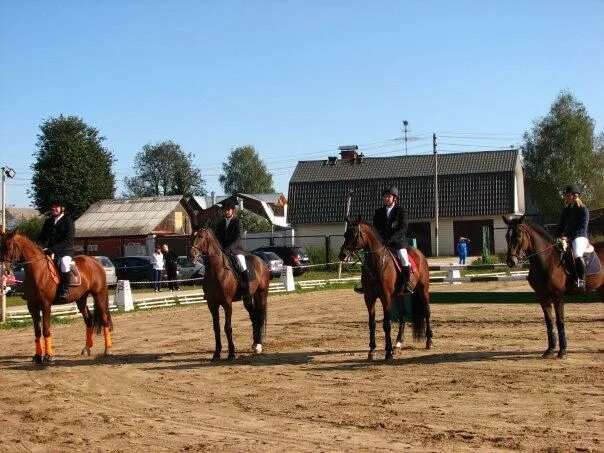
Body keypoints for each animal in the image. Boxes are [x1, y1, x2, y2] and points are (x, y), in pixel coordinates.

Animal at [0, 230, 113, 364]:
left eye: (9, 247)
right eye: (1, 246)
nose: (5, 270)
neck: (37, 271)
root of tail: (95, 262)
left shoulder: (46, 305)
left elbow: (46, 330)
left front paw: (48, 356)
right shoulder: (32, 306)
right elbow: (37, 331)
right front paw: (38, 356)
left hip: (99, 295)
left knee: (104, 319)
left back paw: (108, 349)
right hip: (81, 299)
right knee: (89, 320)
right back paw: (86, 348)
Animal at [188, 224, 270, 358]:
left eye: (201, 236)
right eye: (190, 236)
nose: (191, 256)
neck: (216, 271)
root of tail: (261, 261)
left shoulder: (227, 303)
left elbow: (228, 327)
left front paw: (231, 352)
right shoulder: (212, 304)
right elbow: (216, 328)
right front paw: (217, 353)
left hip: (261, 294)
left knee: (261, 317)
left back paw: (258, 345)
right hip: (248, 299)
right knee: (254, 316)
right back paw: (254, 343)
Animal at [338, 218, 432, 360]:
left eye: (354, 235)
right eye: (344, 235)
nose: (342, 255)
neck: (375, 264)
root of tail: (419, 253)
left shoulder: (385, 297)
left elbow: (386, 324)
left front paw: (388, 352)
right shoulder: (369, 298)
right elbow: (372, 323)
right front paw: (371, 350)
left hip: (423, 290)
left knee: (427, 311)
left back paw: (429, 341)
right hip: (399, 295)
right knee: (403, 315)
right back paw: (398, 343)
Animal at [500, 214, 604, 358]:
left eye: (519, 236)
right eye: (506, 236)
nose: (511, 261)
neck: (546, 259)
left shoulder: (557, 295)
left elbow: (560, 321)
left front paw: (562, 351)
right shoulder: (542, 296)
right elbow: (549, 321)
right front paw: (549, 350)